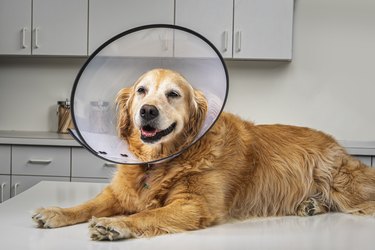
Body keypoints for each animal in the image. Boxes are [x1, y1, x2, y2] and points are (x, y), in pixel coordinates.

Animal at [33, 68, 375, 240]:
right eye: (142, 90)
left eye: (173, 94)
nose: (147, 111)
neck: (161, 161)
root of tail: (336, 144)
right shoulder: (119, 193)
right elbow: (87, 205)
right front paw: (55, 212)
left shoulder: (194, 205)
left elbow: (147, 214)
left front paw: (115, 225)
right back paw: (311, 206)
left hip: (344, 186)